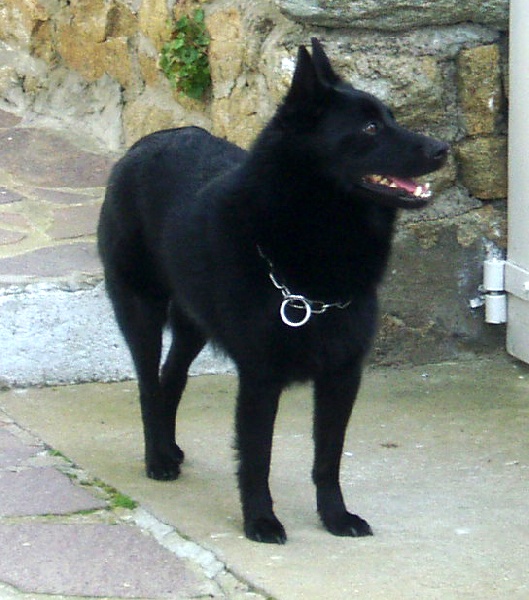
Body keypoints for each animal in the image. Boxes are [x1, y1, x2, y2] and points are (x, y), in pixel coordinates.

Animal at [98, 38, 448, 544]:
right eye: (369, 127)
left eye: (392, 117)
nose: (443, 149)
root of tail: (143, 144)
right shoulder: (260, 378)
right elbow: (256, 458)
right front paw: (260, 521)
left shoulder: (342, 375)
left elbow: (328, 458)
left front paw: (335, 517)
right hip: (140, 308)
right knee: (147, 382)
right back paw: (157, 458)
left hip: (194, 324)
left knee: (171, 376)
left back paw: (170, 446)